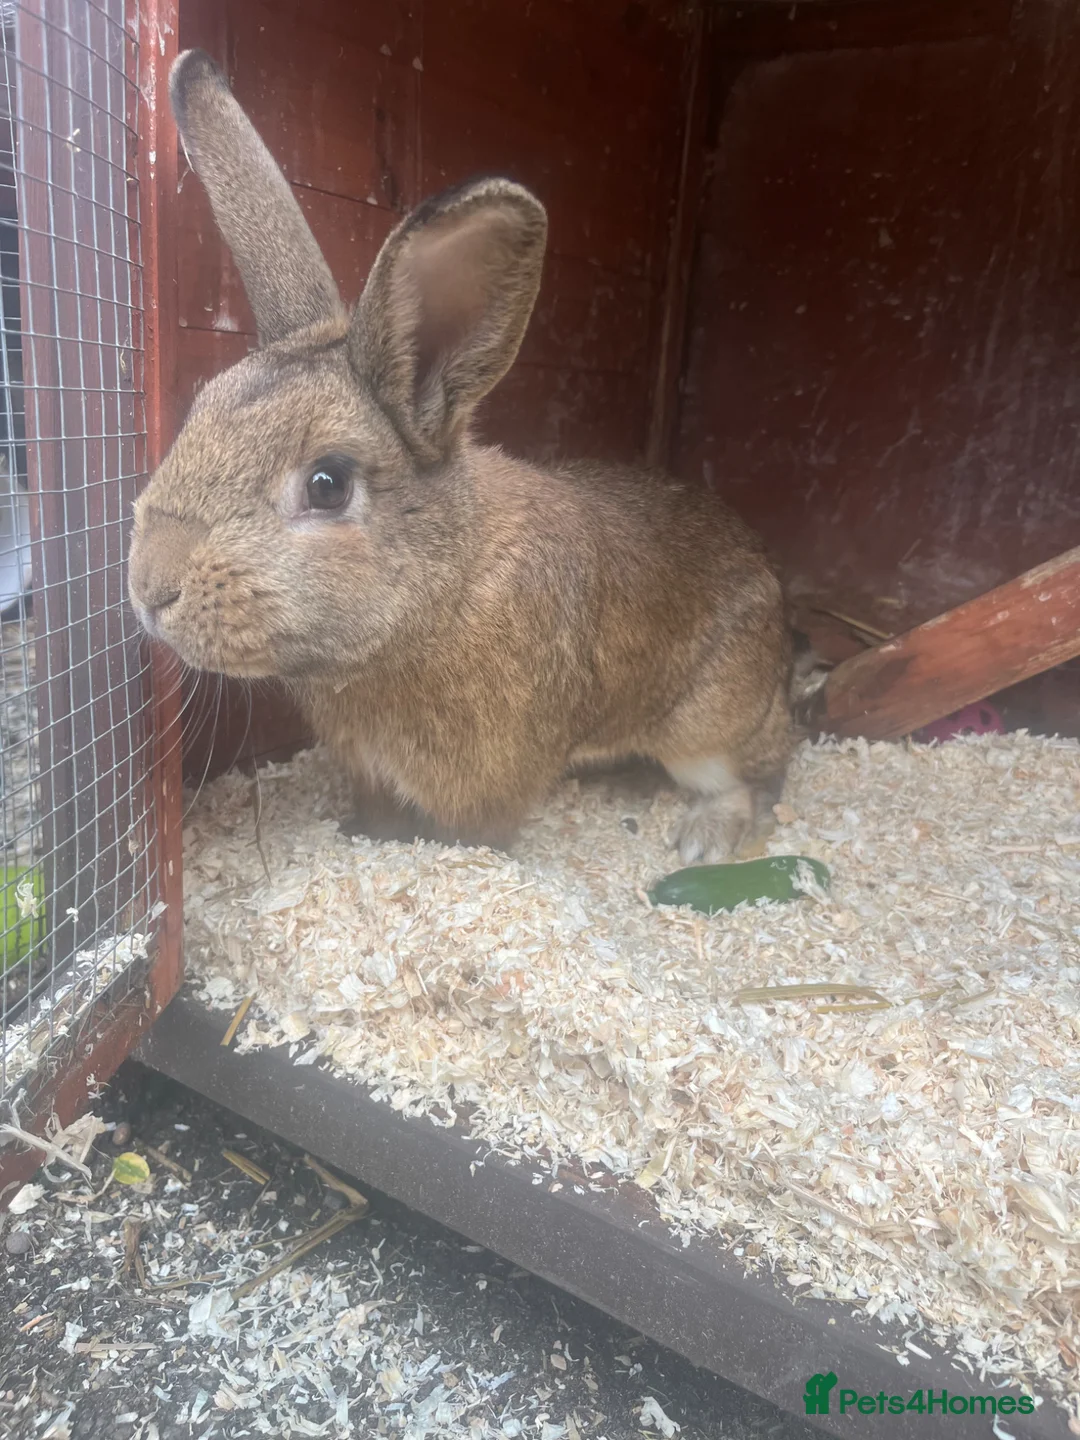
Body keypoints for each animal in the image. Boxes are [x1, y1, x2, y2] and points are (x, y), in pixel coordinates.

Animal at [128, 49, 795, 864]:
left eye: (327, 484)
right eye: (199, 411)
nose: (149, 586)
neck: (439, 589)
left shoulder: (489, 778)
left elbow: (478, 835)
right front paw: (365, 837)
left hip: (711, 722)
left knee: (748, 780)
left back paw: (703, 841)